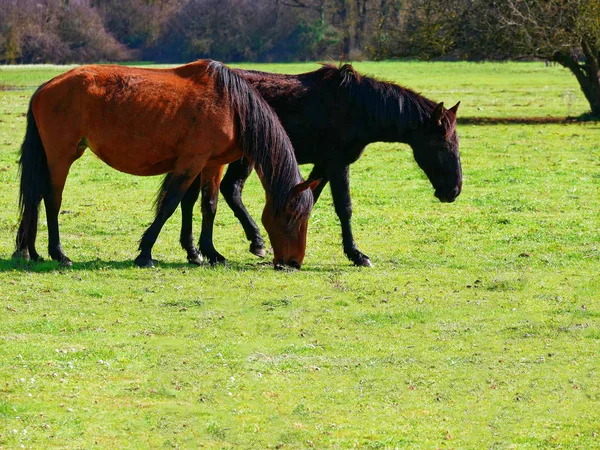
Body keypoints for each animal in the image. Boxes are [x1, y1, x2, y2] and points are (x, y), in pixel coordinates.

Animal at [12, 59, 318, 270]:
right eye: (293, 216)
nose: (293, 263)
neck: (231, 105)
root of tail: (45, 87)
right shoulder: (192, 162)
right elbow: (170, 204)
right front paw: (146, 253)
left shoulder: (210, 164)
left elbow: (206, 206)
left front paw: (205, 253)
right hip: (60, 157)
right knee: (51, 200)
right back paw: (58, 253)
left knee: (36, 198)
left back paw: (32, 252)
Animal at [157, 63, 462, 268]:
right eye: (443, 146)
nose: (454, 191)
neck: (357, 108)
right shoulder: (338, 164)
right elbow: (344, 208)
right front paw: (357, 255)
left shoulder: (324, 166)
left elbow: (310, 200)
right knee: (221, 191)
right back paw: (243, 243)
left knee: (206, 195)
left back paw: (203, 249)